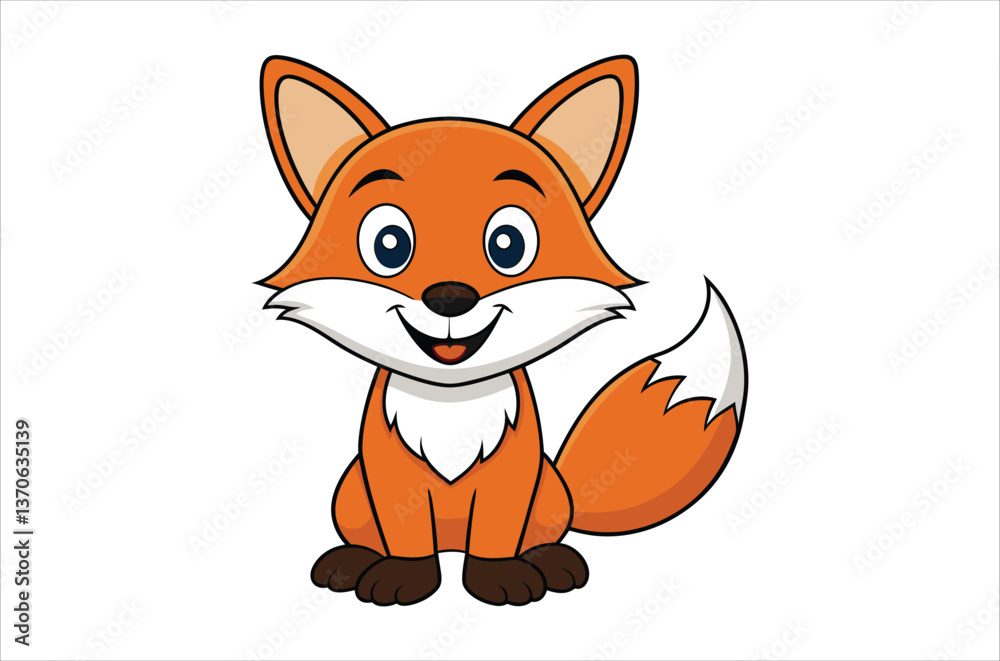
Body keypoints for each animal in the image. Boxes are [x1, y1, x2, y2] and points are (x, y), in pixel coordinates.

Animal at [257, 55, 748, 606]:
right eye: (389, 244)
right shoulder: (389, 476)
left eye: (508, 244)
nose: (449, 296)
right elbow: (405, 533)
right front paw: (406, 576)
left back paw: (551, 561)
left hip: (548, 493)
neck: (451, 403)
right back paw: (352, 561)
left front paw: (499, 578)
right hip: (349, 492)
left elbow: (497, 531)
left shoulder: (512, 476)